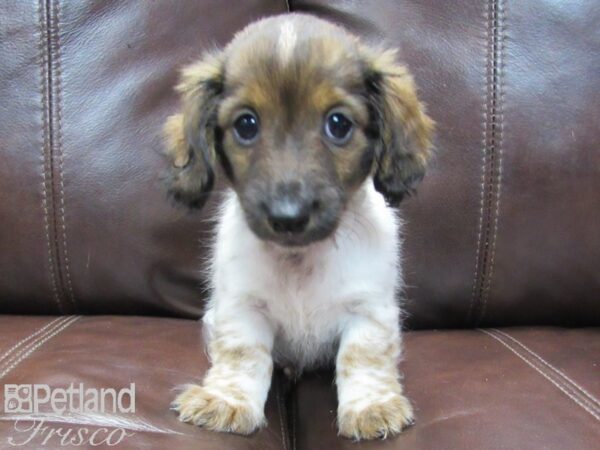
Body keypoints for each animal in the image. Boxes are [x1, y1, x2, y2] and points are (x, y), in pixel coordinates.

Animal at [166, 13, 434, 440]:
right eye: (246, 124)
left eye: (338, 123)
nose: (287, 216)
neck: (300, 262)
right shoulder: (242, 310)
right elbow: (243, 358)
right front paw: (227, 401)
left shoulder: (368, 311)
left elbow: (362, 358)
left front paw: (370, 406)